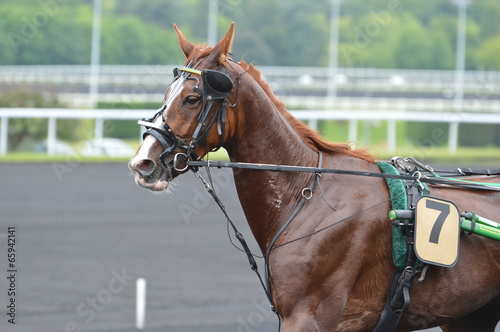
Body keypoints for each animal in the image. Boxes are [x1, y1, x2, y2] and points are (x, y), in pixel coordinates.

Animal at [130, 24, 500, 332]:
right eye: (166, 94)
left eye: (192, 98)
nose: (142, 162)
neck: (305, 193)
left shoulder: (310, 317)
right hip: (468, 316)